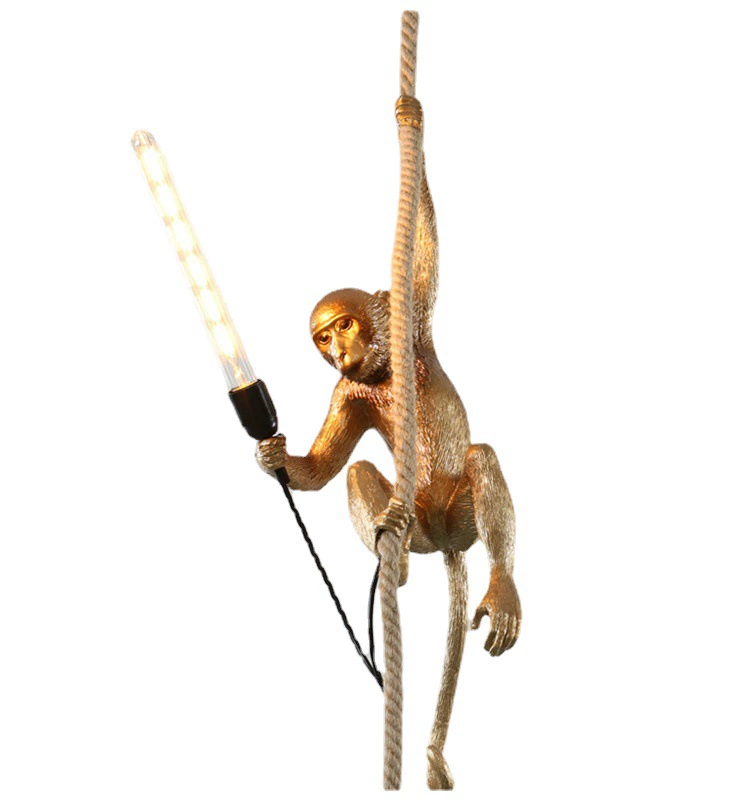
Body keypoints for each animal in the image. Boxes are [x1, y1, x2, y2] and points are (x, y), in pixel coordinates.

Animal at [256, 157, 520, 790]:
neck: (379, 372)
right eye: (322, 338)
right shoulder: (345, 392)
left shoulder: (411, 319)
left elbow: (422, 247)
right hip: (427, 527)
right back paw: (391, 557)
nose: (335, 350)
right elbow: (327, 467)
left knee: (481, 458)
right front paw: (275, 457)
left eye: (344, 326)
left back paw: (500, 588)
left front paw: (410, 132)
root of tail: (446, 542)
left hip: (459, 515)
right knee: (360, 470)